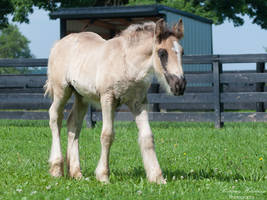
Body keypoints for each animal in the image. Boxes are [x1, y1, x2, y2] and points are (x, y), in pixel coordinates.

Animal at [45, 18, 186, 184]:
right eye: (162, 53)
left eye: (182, 52)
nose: (179, 85)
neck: (127, 62)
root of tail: (58, 43)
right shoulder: (107, 98)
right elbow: (107, 135)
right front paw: (103, 176)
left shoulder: (138, 102)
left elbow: (147, 136)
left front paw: (157, 177)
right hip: (62, 90)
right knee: (55, 116)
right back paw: (56, 169)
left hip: (82, 97)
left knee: (74, 124)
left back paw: (76, 173)